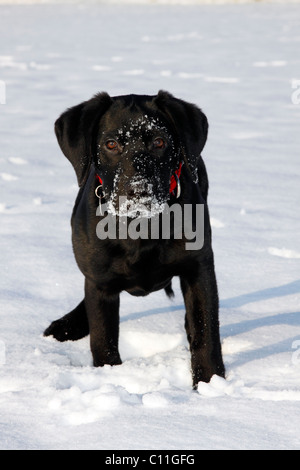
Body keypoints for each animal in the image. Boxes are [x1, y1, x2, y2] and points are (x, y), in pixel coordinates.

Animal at [44, 90, 225, 388]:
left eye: (160, 142)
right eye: (111, 144)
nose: (138, 191)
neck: (141, 227)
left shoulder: (198, 267)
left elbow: (206, 332)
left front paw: (211, 385)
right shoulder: (100, 283)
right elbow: (103, 339)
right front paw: (111, 378)